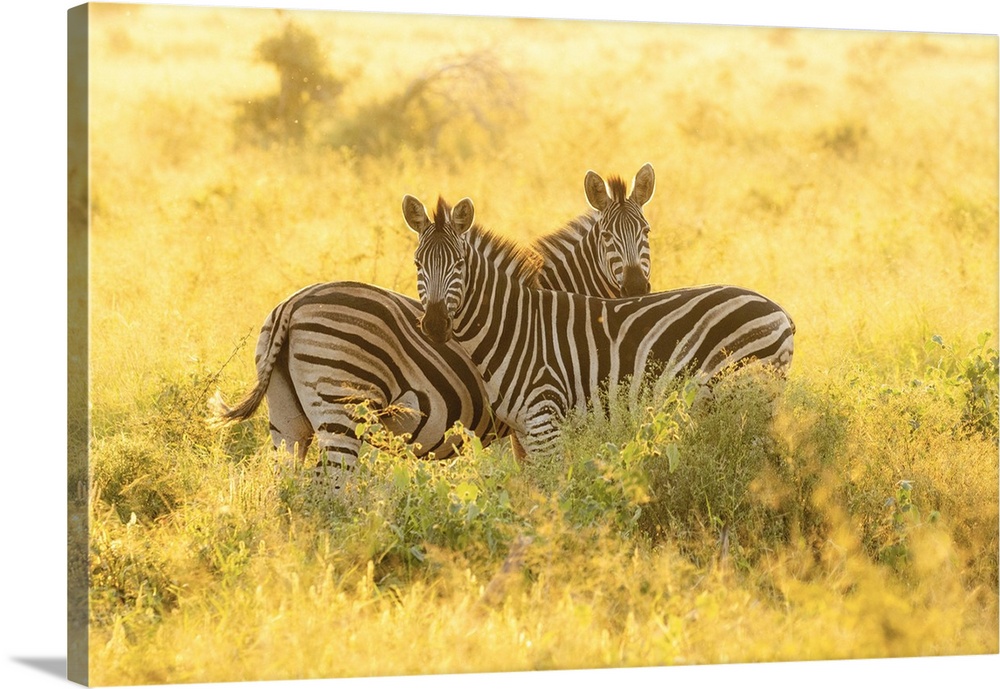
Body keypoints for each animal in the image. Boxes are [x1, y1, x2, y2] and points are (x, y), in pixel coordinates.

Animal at [209, 165, 659, 489]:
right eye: (606, 237)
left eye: (646, 232)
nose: (637, 287)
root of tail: (291, 305)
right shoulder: (527, 417)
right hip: (343, 407)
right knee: (332, 486)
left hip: (287, 420)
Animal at [404, 195, 795, 459]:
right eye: (418, 263)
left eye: (459, 263)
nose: (435, 324)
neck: (512, 326)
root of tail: (779, 311)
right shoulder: (524, 430)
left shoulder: (544, 422)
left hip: (748, 395)